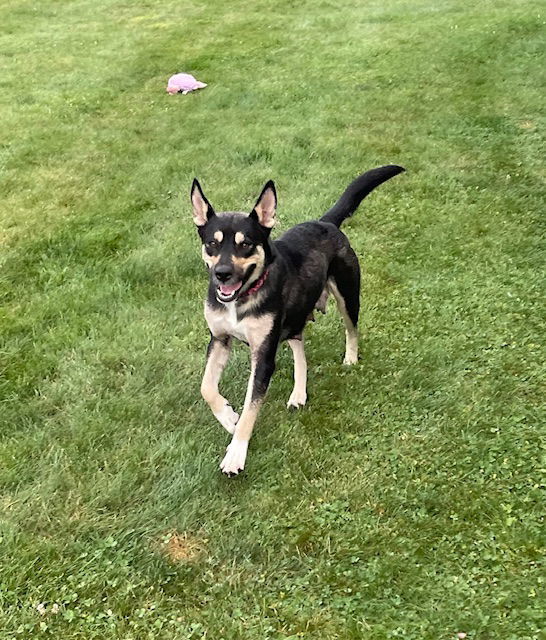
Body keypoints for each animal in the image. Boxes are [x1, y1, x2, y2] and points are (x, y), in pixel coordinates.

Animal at [189, 165, 402, 476]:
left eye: (247, 244)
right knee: (299, 344)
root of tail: (326, 222)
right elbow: (206, 387)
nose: (222, 274)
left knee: (351, 329)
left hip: (347, 294)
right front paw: (228, 417)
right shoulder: (219, 338)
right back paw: (299, 392)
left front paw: (236, 453)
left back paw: (350, 359)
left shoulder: (263, 355)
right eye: (212, 244)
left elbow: (251, 407)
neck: (244, 296)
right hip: (295, 316)